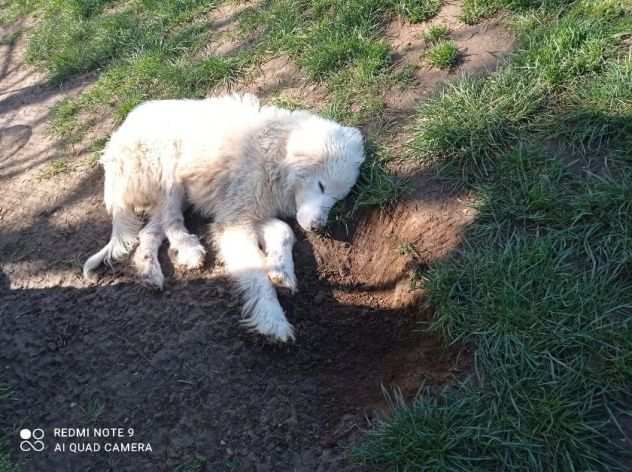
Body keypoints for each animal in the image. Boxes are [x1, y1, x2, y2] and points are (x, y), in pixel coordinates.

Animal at [82, 93, 366, 342]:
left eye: (338, 199)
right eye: (321, 186)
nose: (319, 227)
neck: (275, 156)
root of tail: (118, 136)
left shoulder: (245, 213)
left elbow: (284, 230)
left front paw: (280, 269)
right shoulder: (234, 222)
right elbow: (257, 275)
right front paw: (272, 321)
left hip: (179, 195)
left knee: (149, 232)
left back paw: (149, 272)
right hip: (168, 174)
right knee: (171, 223)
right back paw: (188, 249)